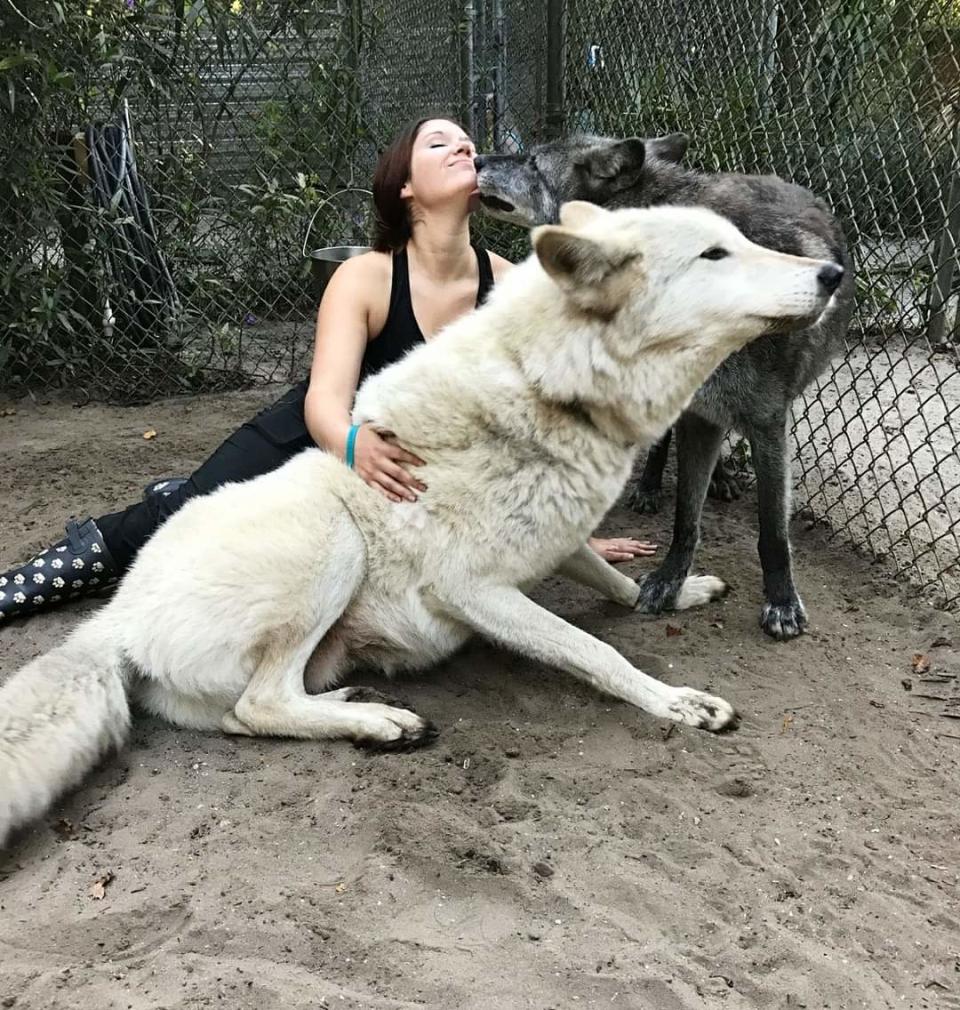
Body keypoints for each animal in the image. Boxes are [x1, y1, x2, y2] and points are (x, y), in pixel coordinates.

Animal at [0, 203, 840, 844]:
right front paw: (679, 704)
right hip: (331, 542)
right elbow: (594, 650)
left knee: (250, 715)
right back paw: (385, 724)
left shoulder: (554, 535)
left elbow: (616, 585)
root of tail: (113, 622)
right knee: (261, 701)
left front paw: (675, 592)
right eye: (714, 253)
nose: (833, 274)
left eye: (738, 238)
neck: (554, 386)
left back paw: (357, 711)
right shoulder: (472, 590)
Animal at [476, 134, 860, 638]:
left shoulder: (767, 423)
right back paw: (652, 487)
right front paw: (669, 581)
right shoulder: (697, 414)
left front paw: (781, 602)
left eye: (533, 162)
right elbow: (685, 519)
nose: (476, 157)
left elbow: (773, 531)